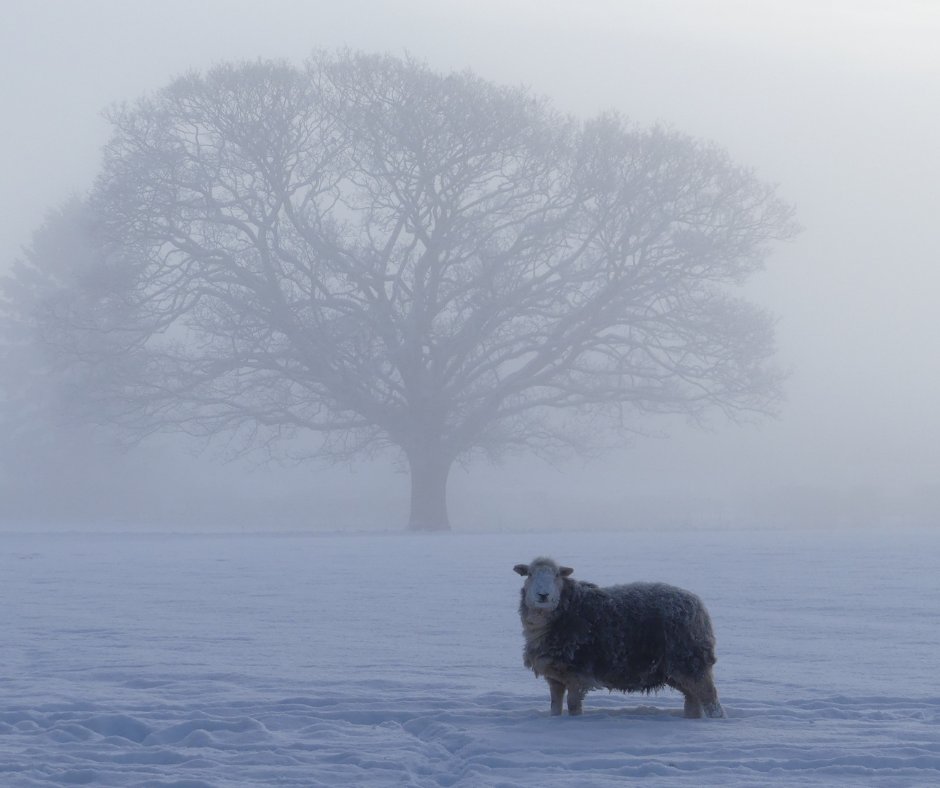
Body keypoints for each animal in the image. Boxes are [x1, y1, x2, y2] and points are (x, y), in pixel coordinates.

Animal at [516, 556, 728, 720]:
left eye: (557, 575)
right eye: (530, 574)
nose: (543, 595)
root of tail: (698, 604)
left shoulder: (577, 673)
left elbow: (574, 705)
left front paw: (574, 722)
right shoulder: (555, 676)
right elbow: (555, 706)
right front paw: (555, 721)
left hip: (691, 662)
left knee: (711, 700)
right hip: (678, 669)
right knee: (693, 699)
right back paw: (691, 719)